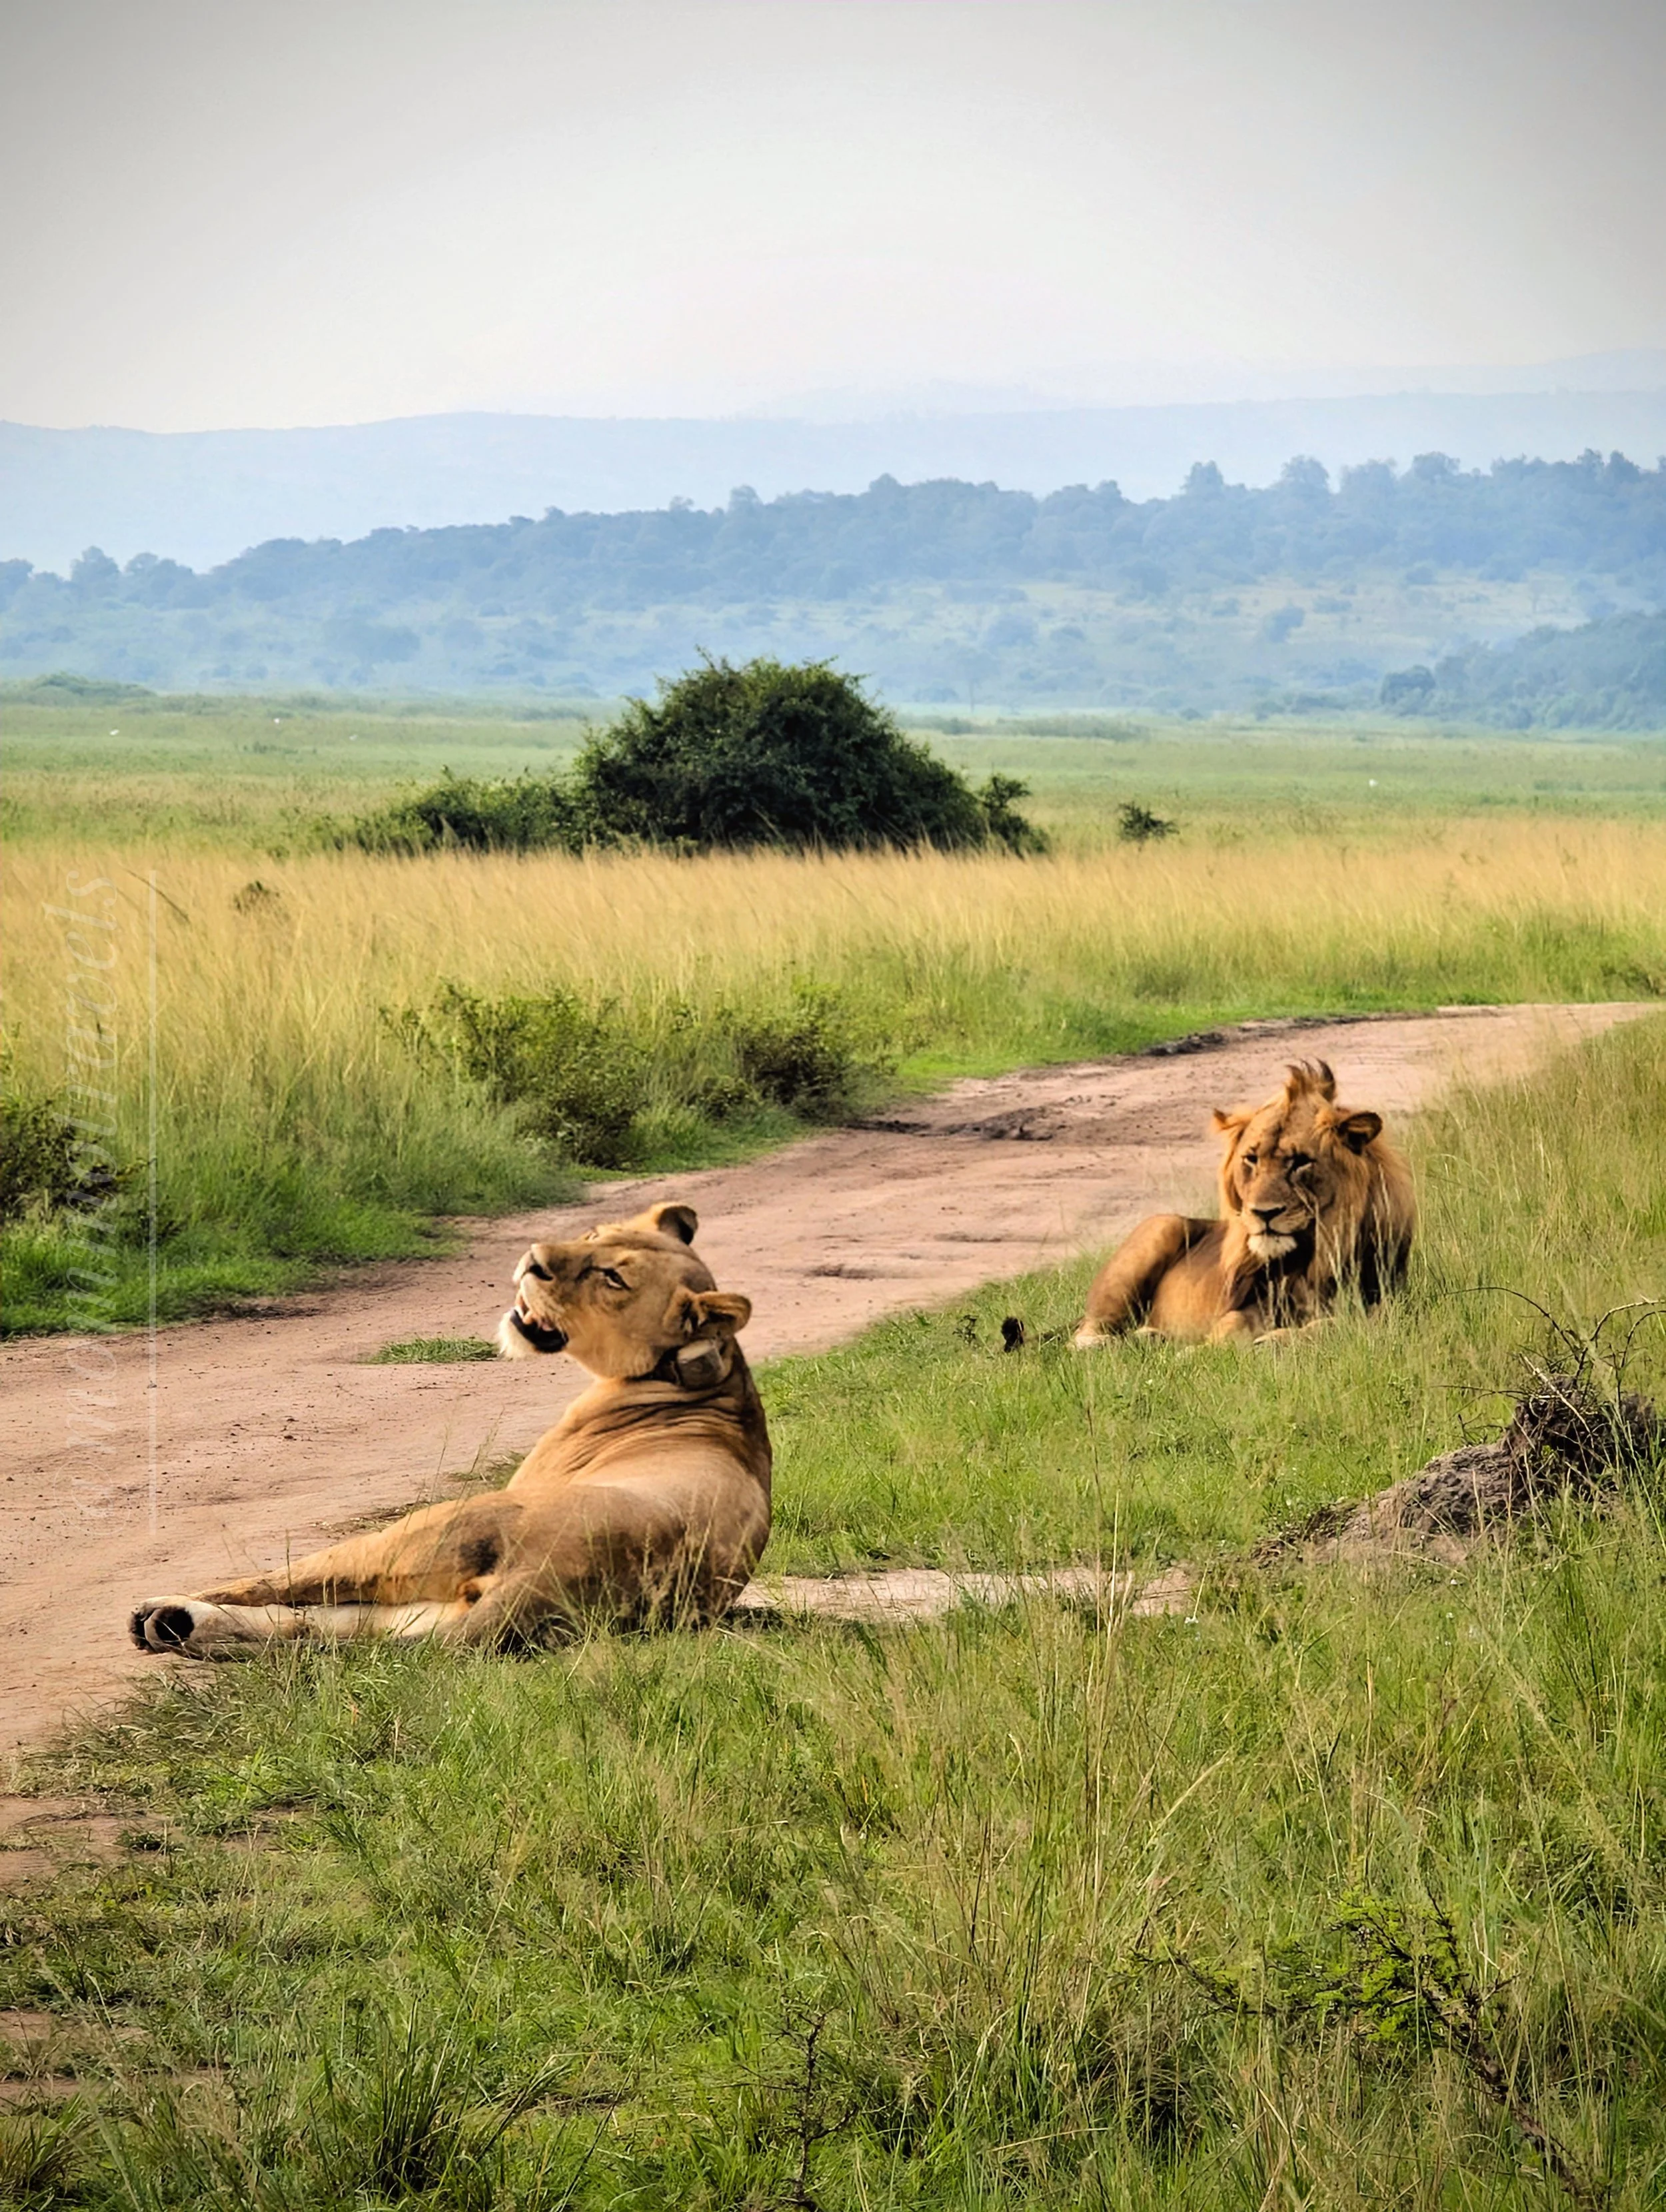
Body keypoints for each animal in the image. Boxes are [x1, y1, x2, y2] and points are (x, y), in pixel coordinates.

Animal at [129, 1203, 770, 1658]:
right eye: (593, 1234)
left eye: (612, 1277)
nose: (533, 1258)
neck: (708, 1371)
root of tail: (546, 1578)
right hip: (425, 1607)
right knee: (328, 1633)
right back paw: (174, 1626)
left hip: (431, 1527)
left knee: (281, 1587)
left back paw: (163, 1612)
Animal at [1074, 1060, 1415, 1346]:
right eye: (1252, 1159)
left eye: (1301, 1162)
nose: (1264, 1213)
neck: (1312, 1258)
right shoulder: (1257, 1301)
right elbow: (1232, 1322)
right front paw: (1202, 1349)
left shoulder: (1388, 1303)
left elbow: (1334, 1323)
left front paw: (1275, 1340)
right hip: (1161, 1226)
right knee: (1085, 1332)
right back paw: (1109, 1343)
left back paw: (1151, 1336)